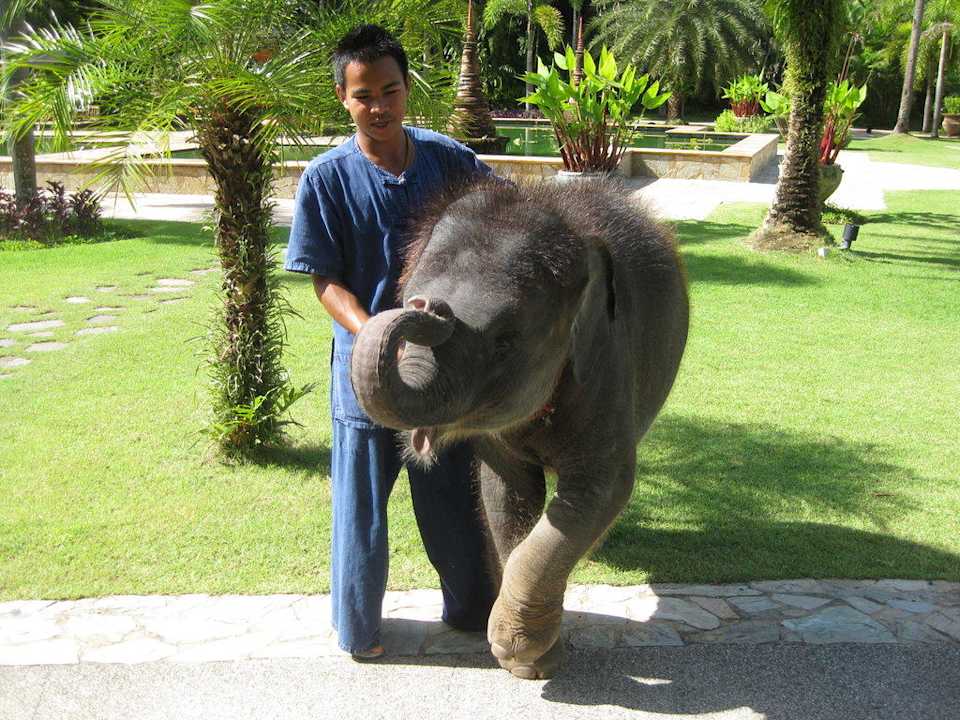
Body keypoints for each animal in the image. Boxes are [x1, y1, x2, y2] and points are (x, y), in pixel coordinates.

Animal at [350, 178, 689, 679]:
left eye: (504, 342)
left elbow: (600, 491)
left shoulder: (606, 367)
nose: (427, 306)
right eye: (406, 293)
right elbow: (506, 495)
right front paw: (533, 660)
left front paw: (522, 653)